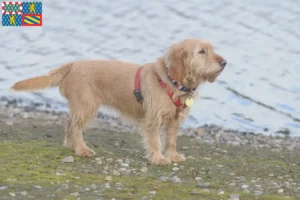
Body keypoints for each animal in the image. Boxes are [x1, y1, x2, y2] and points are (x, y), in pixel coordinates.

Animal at [10, 38, 226, 165]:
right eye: (202, 52)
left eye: (212, 49)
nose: (224, 62)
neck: (171, 82)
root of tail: (73, 64)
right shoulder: (153, 120)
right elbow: (156, 141)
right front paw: (158, 158)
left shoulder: (174, 121)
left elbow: (171, 141)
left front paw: (172, 156)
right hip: (87, 106)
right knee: (75, 127)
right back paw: (81, 149)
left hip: (82, 107)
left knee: (69, 122)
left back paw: (72, 146)